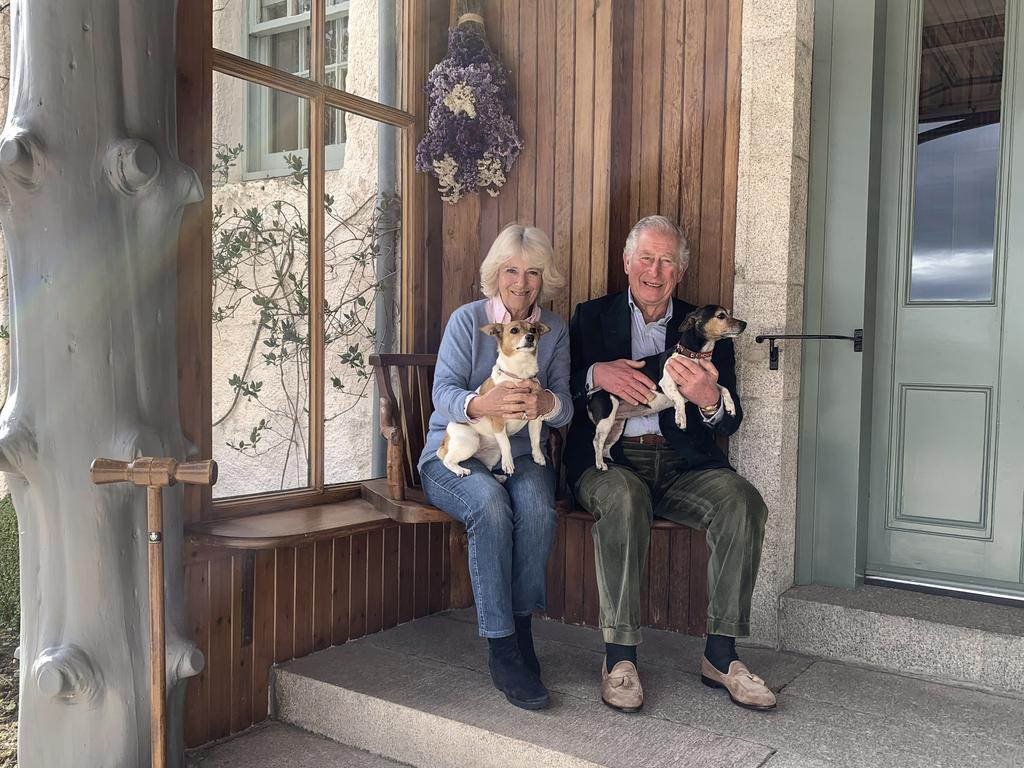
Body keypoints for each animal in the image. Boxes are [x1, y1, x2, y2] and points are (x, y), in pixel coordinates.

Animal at [438, 319, 552, 479]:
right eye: (514, 330)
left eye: (534, 330)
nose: (530, 337)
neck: (520, 375)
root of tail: (444, 442)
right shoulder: (499, 423)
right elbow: (507, 444)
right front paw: (508, 464)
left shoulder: (535, 419)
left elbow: (534, 440)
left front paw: (538, 456)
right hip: (469, 440)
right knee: (447, 460)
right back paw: (460, 470)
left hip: (494, 453)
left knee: (488, 469)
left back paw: (498, 477)